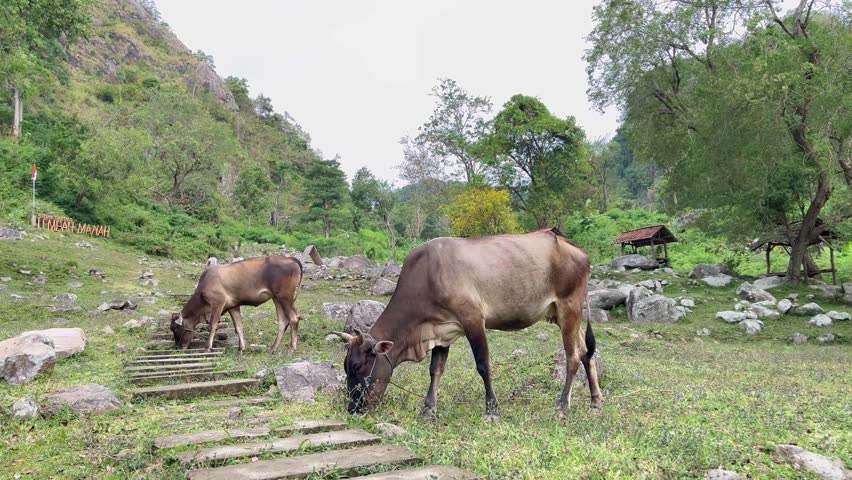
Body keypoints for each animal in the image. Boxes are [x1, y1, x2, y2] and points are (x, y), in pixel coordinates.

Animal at [171, 256, 303, 353]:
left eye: (175, 328)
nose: (178, 347)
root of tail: (290, 258)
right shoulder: (233, 306)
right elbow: (238, 326)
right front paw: (241, 348)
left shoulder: (218, 302)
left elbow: (212, 325)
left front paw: (207, 347)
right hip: (276, 298)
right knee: (283, 321)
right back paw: (273, 348)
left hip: (285, 296)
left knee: (293, 318)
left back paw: (292, 348)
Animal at [333, 228, 602, 420]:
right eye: (346, 366)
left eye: (357, 366)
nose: (352, 409)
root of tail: (574, 248)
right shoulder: (442, 331)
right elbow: (435, 370)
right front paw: (428, 409)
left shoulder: (473, 319)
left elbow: (483, 365)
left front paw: (492, 410)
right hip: (563, 314)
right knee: (586, 353)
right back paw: (595, 403)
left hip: (569, 307)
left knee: (573, 357)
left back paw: (562, 406)